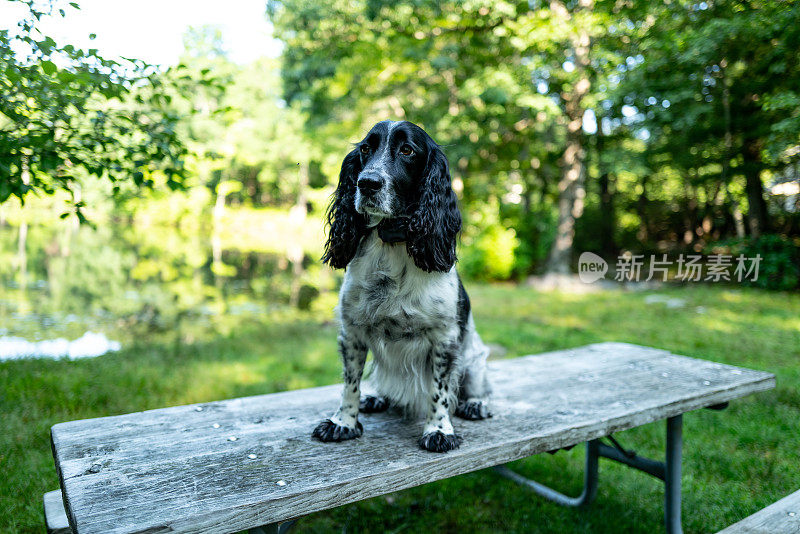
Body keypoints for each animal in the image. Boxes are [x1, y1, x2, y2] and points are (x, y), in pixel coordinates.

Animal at [314, 120, 494, 452]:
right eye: (366, 148)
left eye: (407, 150)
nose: (367, 183)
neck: (392, 243)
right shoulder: (352, 332)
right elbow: (350, 384)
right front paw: (343, 422)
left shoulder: (444, 339)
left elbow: (439, 391)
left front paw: (439, 430)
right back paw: (375, 398)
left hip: (475, 358)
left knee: (477, 385)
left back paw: (476, 403)